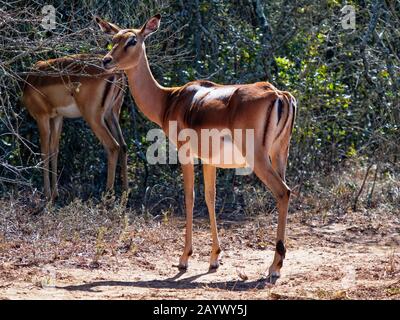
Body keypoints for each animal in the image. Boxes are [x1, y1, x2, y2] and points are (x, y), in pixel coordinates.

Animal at [22, 54, 128, 200]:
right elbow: (54, 150)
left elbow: (44, 151)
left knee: (113, 146)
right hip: (112, 114)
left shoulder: (42, 117)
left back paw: (107, 197)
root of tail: (117, 72)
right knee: (123, 145)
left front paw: (47, 195)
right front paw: (55, 194)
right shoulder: (57, 117)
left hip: (93, 117)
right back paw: (125, 196)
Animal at [95, 13, 296, 284]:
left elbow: (189, 197)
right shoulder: (209, 160)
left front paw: (184, 259)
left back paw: (274, 267)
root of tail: (279, 95)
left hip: (259, 159)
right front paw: (214, 259)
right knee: (286, 192)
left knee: (283, 192)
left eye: (132, 40)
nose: (106, 60)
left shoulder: (185, 154)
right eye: (113, 39)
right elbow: (210, 197)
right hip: (280, 154)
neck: (168, 99)